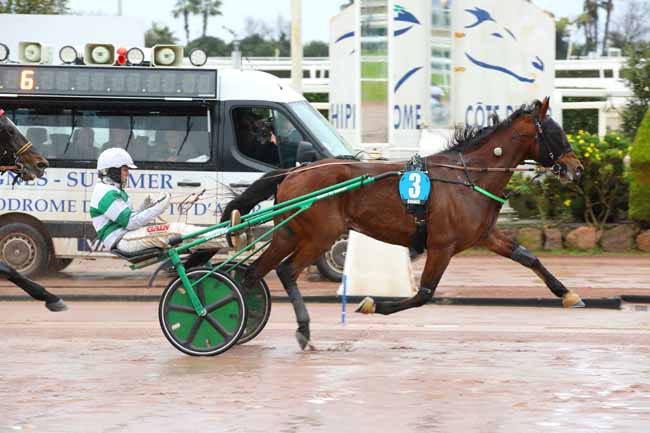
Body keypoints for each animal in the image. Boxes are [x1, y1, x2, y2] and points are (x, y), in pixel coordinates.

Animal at [221, 97, 584, 348]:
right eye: (555, 133)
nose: (577, 168)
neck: (467, 177)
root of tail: (293, 171)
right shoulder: (442, 245)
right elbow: (423, 294)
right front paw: (372, 304)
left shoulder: (483, 235)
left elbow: (528, 257)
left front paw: (567, 294)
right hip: (319, 236)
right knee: (285, 271)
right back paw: (299, 328)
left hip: (289, 232)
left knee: (254, 273)